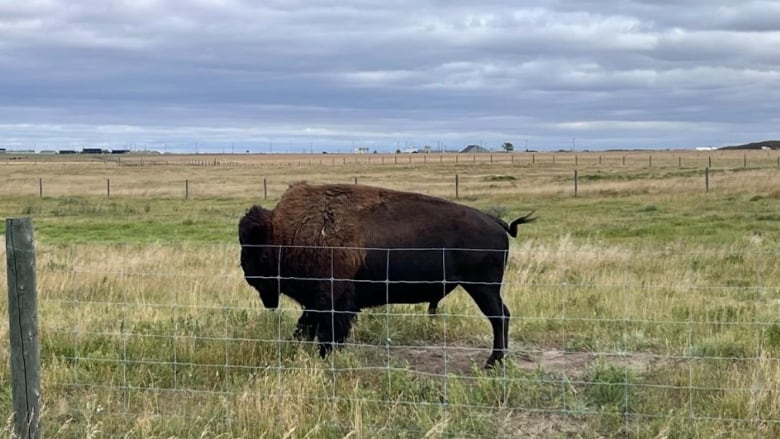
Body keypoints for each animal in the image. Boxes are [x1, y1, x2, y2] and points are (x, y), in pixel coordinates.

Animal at [236, 182, 536, 368]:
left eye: (253, 249)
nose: (247, 273)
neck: (283, 234)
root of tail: (496, 222)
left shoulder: (332, 302)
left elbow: (328, 333)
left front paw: (325, 357)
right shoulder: (315, 303)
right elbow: (304, 328)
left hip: (482, 287)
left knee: (499, 317)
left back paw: (492, 362)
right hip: (483, 287)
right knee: (501, 316)